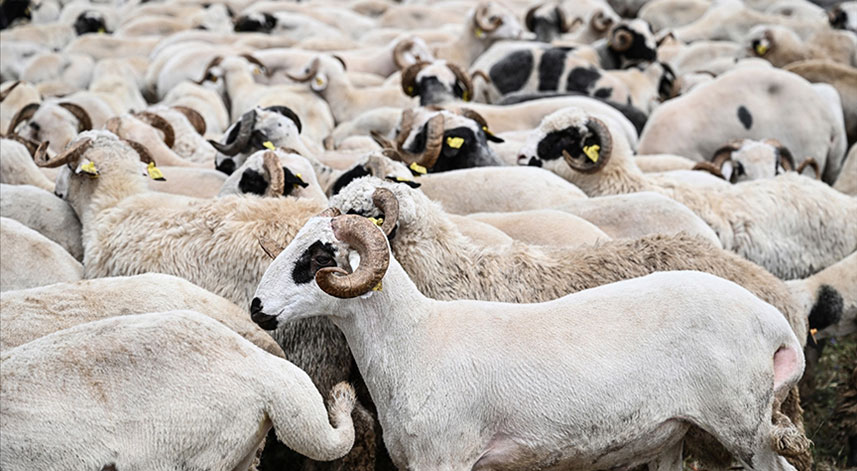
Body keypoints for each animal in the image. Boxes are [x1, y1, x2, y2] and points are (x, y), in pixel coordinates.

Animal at [251, 213, 804, 471]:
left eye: (318, 256)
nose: (256, 309)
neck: (414, 339)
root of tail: (774, 322)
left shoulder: (446, 456)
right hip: (673, 432)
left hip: (743, 424)